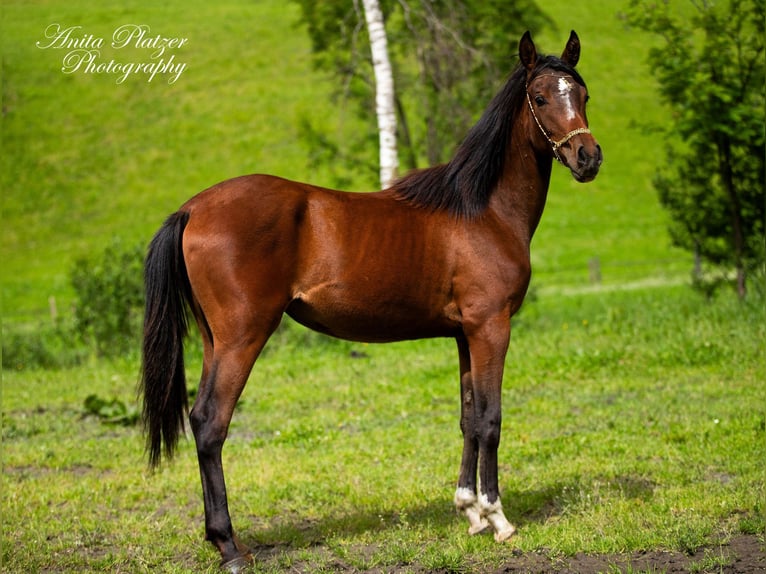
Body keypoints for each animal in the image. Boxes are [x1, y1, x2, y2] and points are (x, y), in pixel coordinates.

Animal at [141, 30, 604, 572]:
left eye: (583, 94)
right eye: (540, 97)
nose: (587, 158)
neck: (482, 210)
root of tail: (193, 208)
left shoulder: (464, 335)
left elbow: (468, 419)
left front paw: (469, 512)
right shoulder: (492, 328)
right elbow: (490, 420)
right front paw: (498, 519)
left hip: (215, 340)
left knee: (198, 420)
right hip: (243, 338)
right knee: (212, 424)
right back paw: (231, 547)